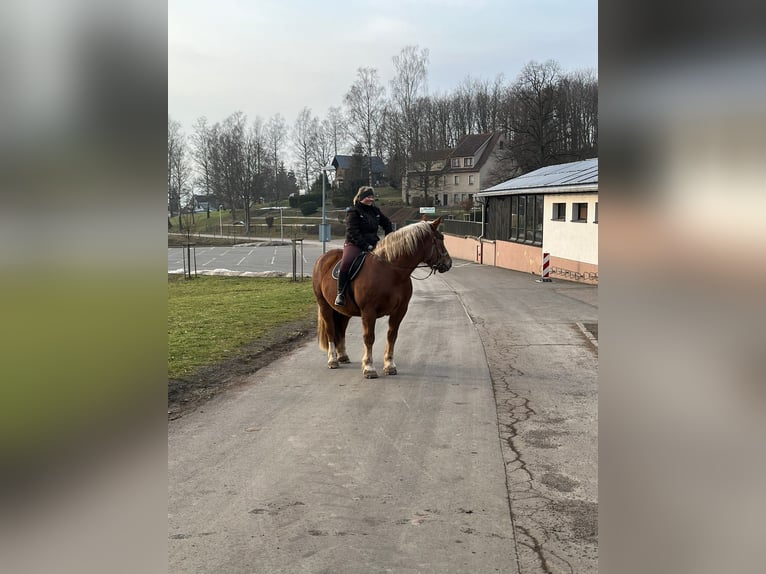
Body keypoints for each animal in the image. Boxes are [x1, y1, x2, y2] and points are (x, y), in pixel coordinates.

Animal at [312, 217, 452, 379]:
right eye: (440, 238)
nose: (449, 263)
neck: (391, 271)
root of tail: (323, 258)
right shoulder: (368, 312)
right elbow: (369, 337)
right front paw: (369, 367)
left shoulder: (400, 311)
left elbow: (392, 335)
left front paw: (389, 365)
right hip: (324, 306)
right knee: (330, 330)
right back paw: (332, 359)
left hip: (344, 311)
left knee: (341, 329)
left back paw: (343, 356)